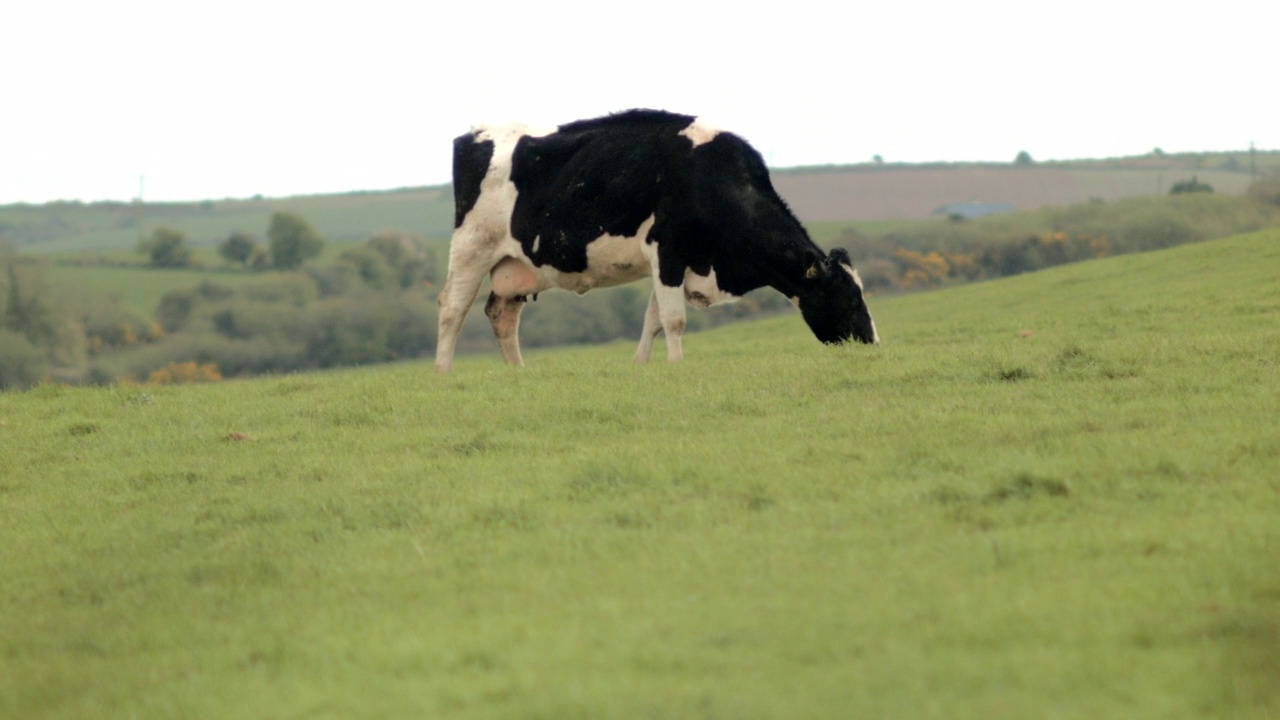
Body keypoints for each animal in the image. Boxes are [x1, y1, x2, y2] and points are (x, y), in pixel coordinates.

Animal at [435, 110, 875, 376]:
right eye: (851, 300)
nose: (872, 345)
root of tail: (474, 134)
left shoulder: (672, 261)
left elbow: (653, 320)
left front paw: (642, 364)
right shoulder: (668, 251)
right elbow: (674, 320)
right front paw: (677, 366)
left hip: (515, 266)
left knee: (501, 315)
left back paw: (518, 373)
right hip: (471, 247)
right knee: (452, 310)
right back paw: (443, 372)